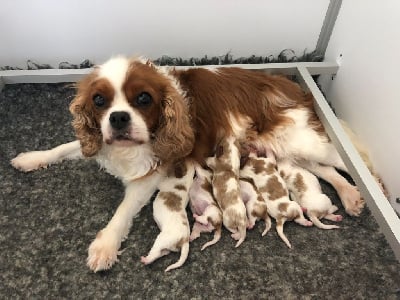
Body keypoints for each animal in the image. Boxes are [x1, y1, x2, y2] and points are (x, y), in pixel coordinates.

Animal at [11, 54, 362, 272]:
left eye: (143, 99)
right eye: (99, 101)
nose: (119, 117)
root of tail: (293, 87)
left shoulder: (153, 171)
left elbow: (122, 211)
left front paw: (106, 246)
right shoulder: (100, 144)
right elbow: (64, 147)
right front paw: (32, 157)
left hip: (302, 141)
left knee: (346, 160)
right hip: (287, 151)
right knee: (324, 171)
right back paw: (348, 195)